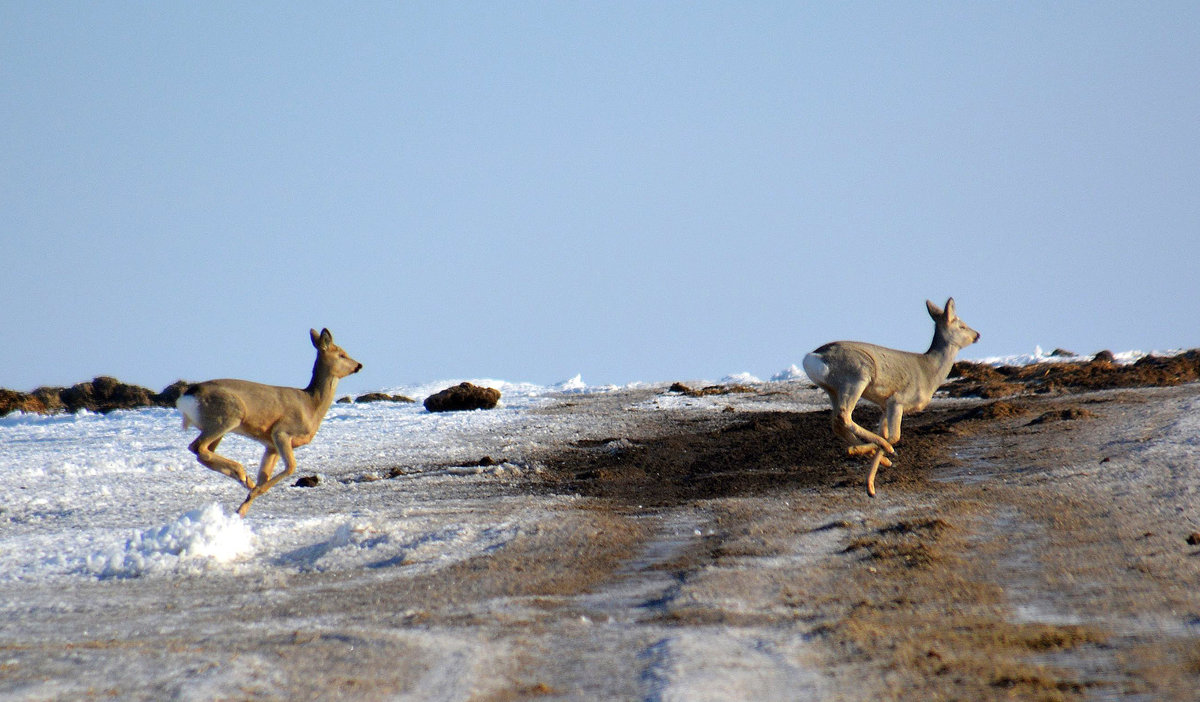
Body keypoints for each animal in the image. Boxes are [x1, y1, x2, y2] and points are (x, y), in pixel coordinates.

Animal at [175, 326, 360, 513]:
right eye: (342, 354)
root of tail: (186, 396)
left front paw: (242, 509)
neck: (311, 406)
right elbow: (291, 467)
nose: (359, 365)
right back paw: (242, 473)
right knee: (198, 447)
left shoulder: (271, 446)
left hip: (217, 426)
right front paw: (252, 492)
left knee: (203, 452)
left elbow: (264, 476)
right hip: (228, 415)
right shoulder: (281, 432)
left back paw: (245, 480)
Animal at [801, 298, 979, 494]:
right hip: (856, 377)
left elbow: (885, 432)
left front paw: (873, 471)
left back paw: (864, 451)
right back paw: (878, 450)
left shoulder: (884, 404)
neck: (928, 373)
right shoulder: (897, 399)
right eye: (962, 325)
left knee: (836, 423)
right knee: (844, 416)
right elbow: (894, 436)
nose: (977, 335)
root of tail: (812, 357)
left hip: (832, 389)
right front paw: (870, 485)